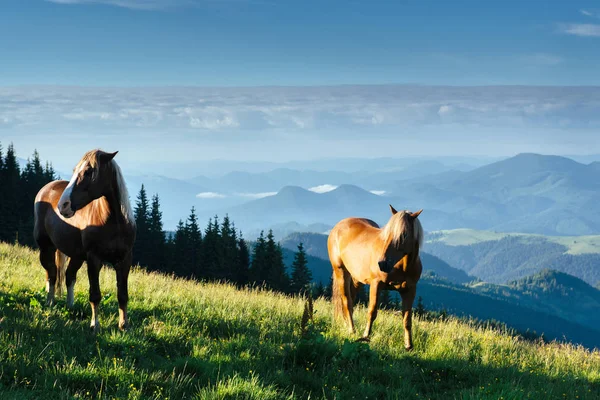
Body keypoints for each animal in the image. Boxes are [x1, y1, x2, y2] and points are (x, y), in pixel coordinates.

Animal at [34, 150, 136, 332]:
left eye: (89, 172)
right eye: (75, 170)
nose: (63, 205)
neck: (113, 223)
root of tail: (46, 189)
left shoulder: (125, 260)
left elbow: (122, 295)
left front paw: (124, 326)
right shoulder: (94, 259)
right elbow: (95, 295)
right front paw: (95, 325)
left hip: (76, 256)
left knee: (68, 276)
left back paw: (70, 306)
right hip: (46, 248)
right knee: (52, 275)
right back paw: (50, 303)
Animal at [328, 206, 422, 350]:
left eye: (404, 235)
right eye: (388, 233)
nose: (383, 263)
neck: (401, 266)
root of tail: (337, 227)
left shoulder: (410, 290)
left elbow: (407, 318)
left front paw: (409, 345)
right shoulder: (376, 284)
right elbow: (372, 312)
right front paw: (365, 337)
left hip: (356, 279)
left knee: (351, 300)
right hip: (341, 272)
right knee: (347, 302)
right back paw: (352, 330)